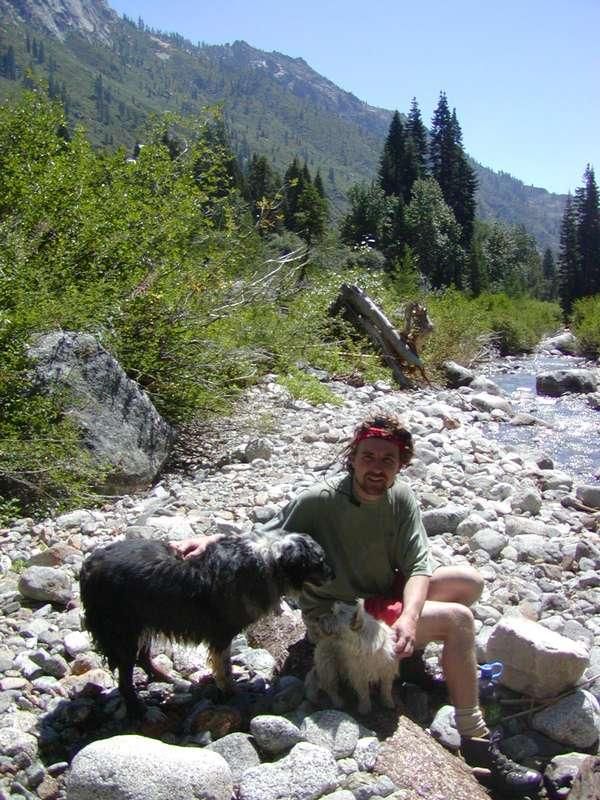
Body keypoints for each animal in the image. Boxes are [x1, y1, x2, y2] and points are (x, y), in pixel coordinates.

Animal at [79, 536, 332, 716]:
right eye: (319, 562)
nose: (333, 574)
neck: (269, 563)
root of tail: (90, 564)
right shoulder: (222, 634)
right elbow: (224, 668)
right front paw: (231, 691)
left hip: (144, 621)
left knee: (143, 657)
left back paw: (168, 679)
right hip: (124, 631)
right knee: (125, 678)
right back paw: (138, 709)